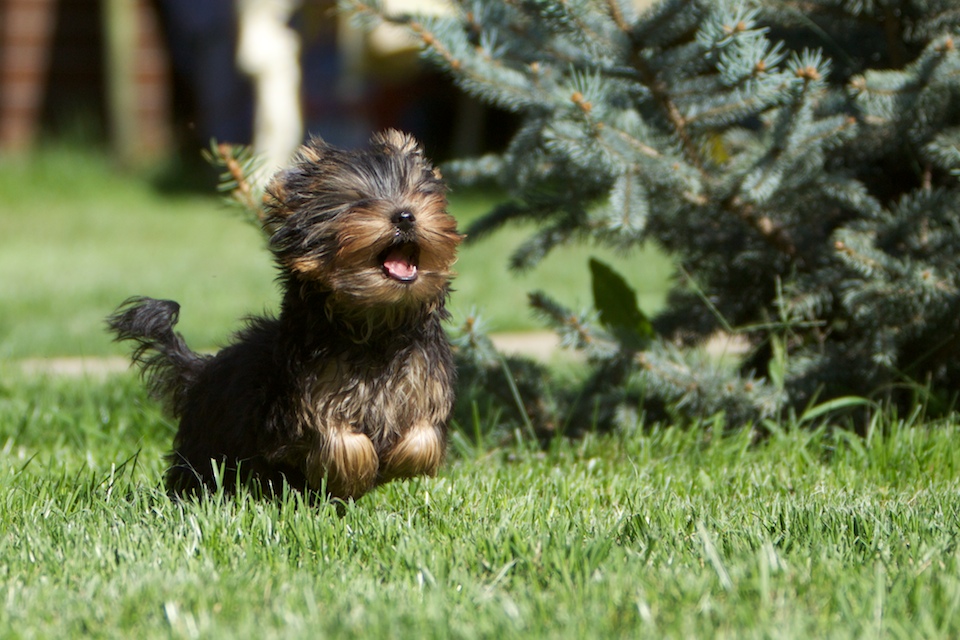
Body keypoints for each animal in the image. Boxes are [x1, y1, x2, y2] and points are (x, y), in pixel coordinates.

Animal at [107, 130, 464, 500]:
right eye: (358, 202)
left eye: (418, 194)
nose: (405, 216)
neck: (377, 324)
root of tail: (201, 371)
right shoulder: (299, 402)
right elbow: (339, 439)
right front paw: (355, 472)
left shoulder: (426, 382)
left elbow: (423, 437)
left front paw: (394, 462)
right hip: (206, 442)